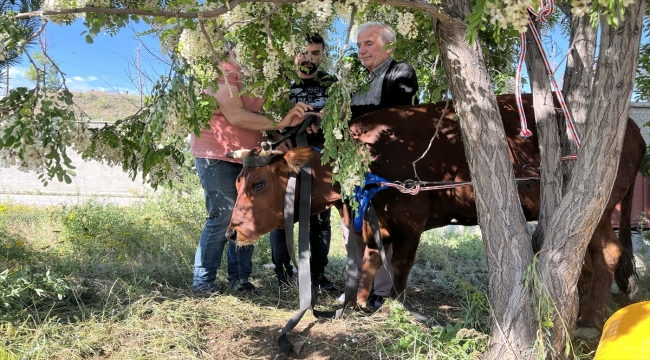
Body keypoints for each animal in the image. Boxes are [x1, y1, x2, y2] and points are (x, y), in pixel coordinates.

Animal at [225, 94, 640, 330]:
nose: (231, 231)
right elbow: (369, 261)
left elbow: (399, 268)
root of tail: (632, 126)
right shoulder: (373, 223)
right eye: (237, 182)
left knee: (607, 253)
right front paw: (358, 304)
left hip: (599, 203)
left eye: (258, 184)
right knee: (587, 259)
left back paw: (589, 320)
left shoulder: (409, 221)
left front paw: (391, 308)